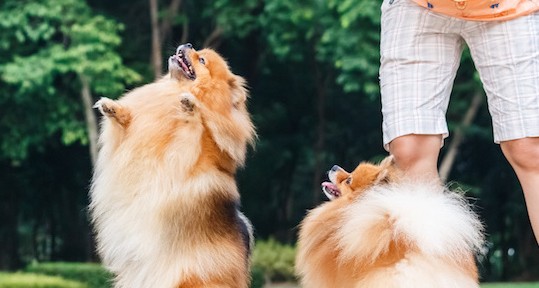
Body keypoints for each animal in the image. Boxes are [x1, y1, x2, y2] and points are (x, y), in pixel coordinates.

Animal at [90, 43, 258, 288]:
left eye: (202, 60)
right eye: (197, 50)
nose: (187, 45)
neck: (173, 91)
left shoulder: (186, 155)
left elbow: (191, 132)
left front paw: (190, 107)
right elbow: (128, 123)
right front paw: (114, 108)